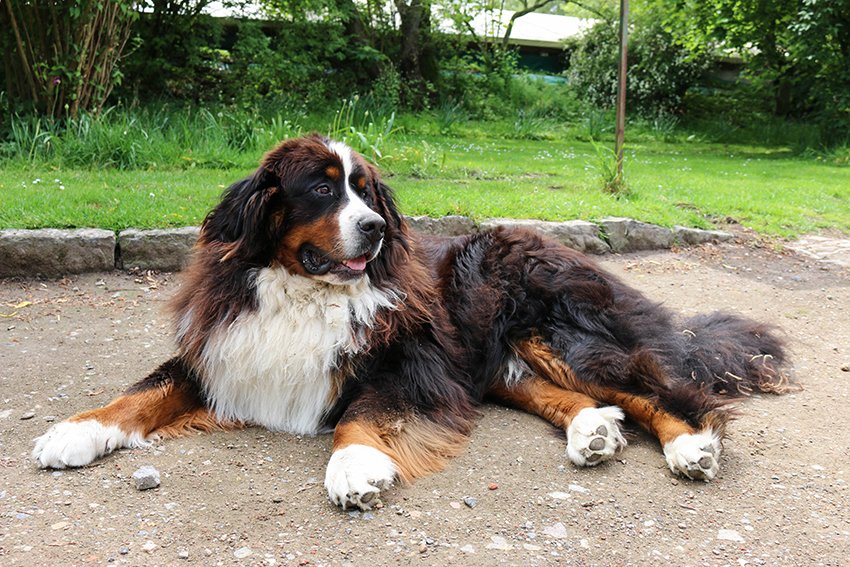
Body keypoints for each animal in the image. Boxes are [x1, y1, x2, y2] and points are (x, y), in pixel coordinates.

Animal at [33, 134, 791, 510]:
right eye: (320, 189)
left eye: (368, 193)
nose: (373, 229)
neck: (305, 289)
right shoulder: (222, 350)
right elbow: (141, 392)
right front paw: (75, 430)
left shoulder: (413, 367)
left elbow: (362, 413)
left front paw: (354, 467)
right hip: (499, 360)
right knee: (576, 397)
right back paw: (592, 431)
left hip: (560, 334)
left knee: (661, 390)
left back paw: (689, 446)